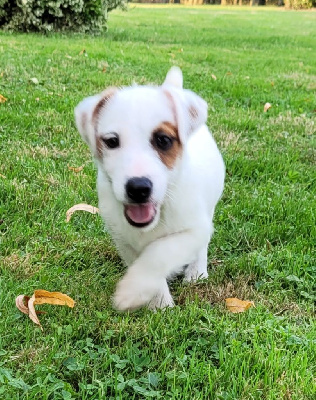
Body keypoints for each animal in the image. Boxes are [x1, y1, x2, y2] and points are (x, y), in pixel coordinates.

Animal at [74, 68, 225, 312]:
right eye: (112, 141)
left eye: (163, 140)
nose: (138, 188)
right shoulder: (122, 239)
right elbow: (143, 261)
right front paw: (159, 303)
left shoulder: (195, 229)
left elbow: (160, 253)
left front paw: (132, 290)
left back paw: (197, 272)